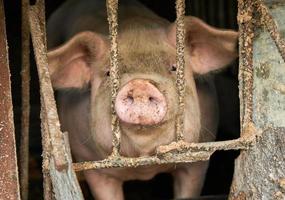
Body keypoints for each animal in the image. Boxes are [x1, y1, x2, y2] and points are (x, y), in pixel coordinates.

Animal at [47, 0, 237, 199]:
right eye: (108, 73)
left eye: (174, 67)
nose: (139, 85)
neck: (144, 166)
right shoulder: (95, 168)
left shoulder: (197, 160)